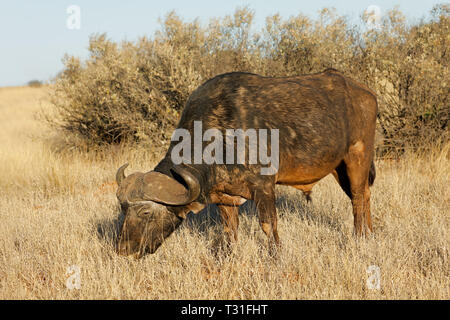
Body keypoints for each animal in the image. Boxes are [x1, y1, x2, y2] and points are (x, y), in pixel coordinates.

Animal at [115, 69, 376, 258]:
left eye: (146, 211)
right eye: (124, 209)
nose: (124, 250)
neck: (221, 136)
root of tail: (366, 94)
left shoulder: (264, 188)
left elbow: (268, 225)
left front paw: (275, 256)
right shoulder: (224, 197)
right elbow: (230, 230)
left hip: (357, 158)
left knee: (358, 198)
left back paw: (360, 237)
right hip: (339, 168)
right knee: (364, 195)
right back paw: (370, 234)